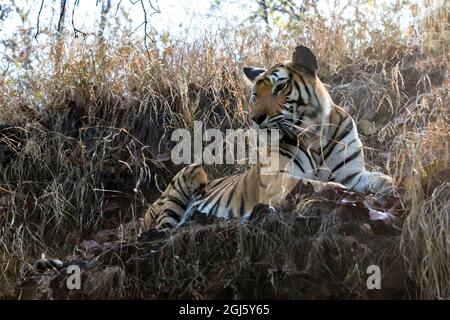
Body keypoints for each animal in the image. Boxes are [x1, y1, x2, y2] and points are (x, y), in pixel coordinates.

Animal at [142, 45, 396, 230]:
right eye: (255, 95)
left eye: (280, 88)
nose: (255, 118)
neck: (315, 135)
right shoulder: (278, 178)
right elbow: (310, 183)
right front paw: (338, 190)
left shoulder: (352, 173)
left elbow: (378, 179)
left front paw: (391, 187)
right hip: (189, 173)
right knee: (162, 228)